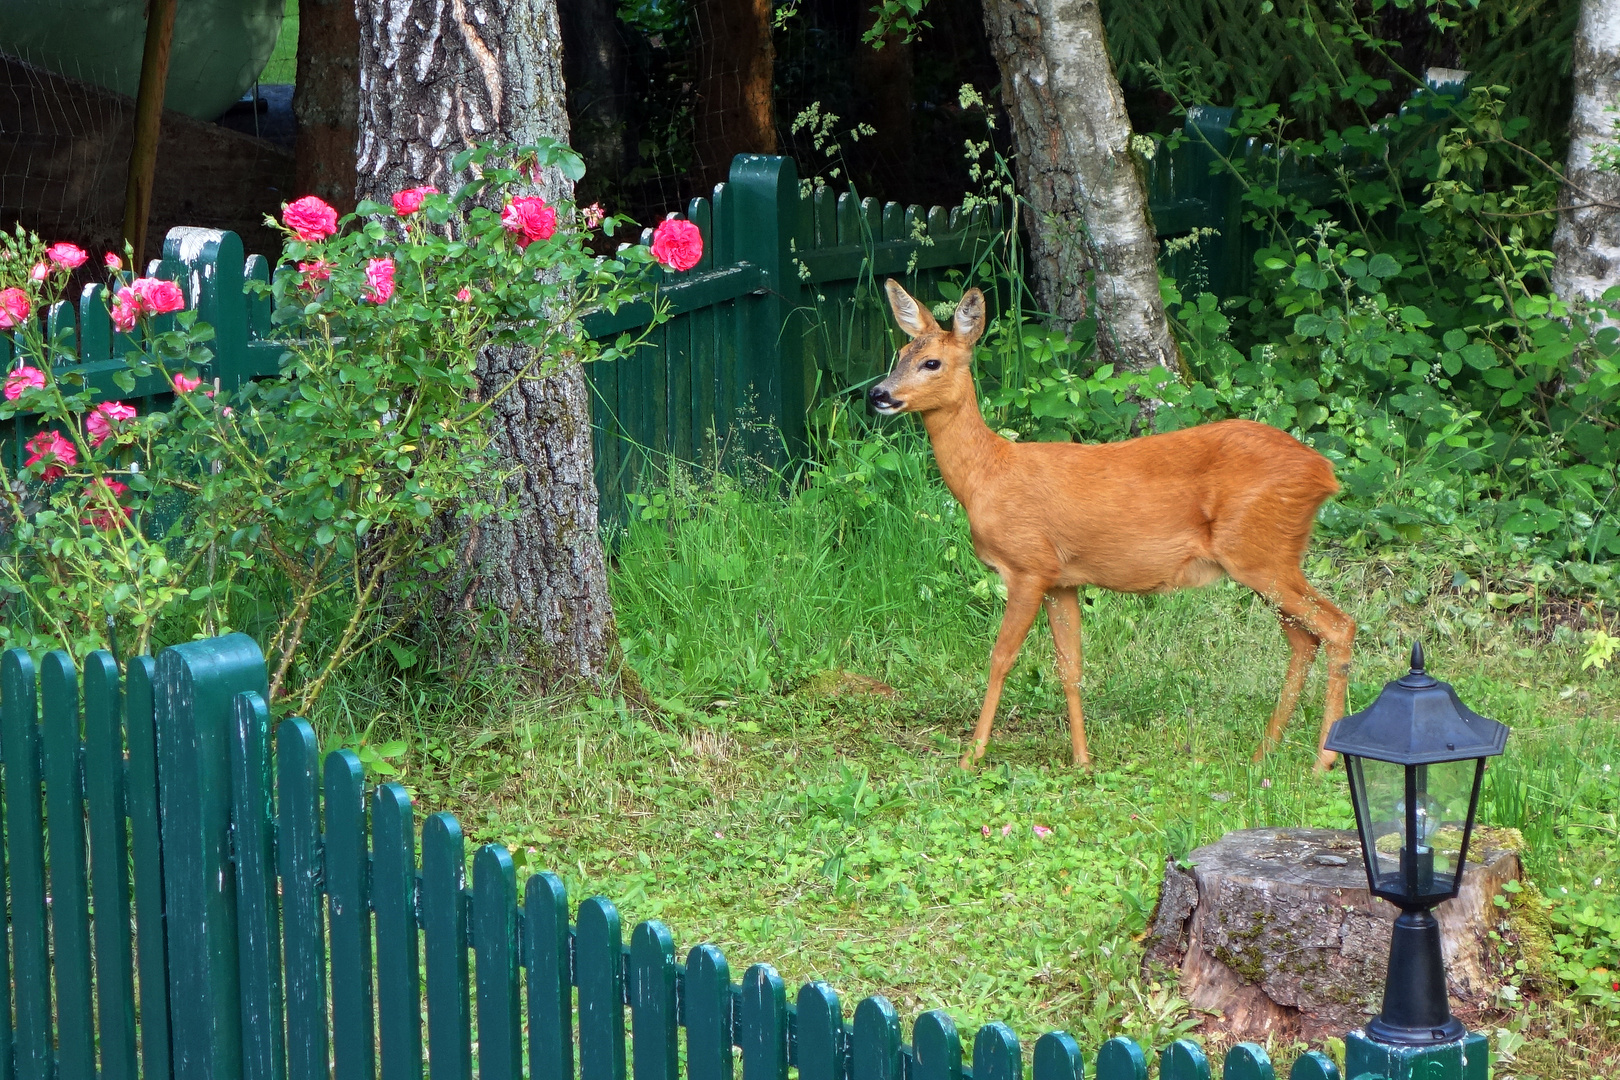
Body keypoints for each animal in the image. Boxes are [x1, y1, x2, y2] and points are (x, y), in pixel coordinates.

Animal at [874, 275, 1354, 773]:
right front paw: (1083, 760)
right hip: (1267, 558)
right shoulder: (1062, 578)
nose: (878, 395)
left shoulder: (1028, 565)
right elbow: (1071, 666)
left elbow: (1001, 658)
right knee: (1304, 639)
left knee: (1337, 627)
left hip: (1260, 552)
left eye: (931, 362)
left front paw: (971, 757)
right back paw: (1265, 752)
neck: (986, 475)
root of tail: (1324, 473)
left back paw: (1321, 760)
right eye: (899, 354)